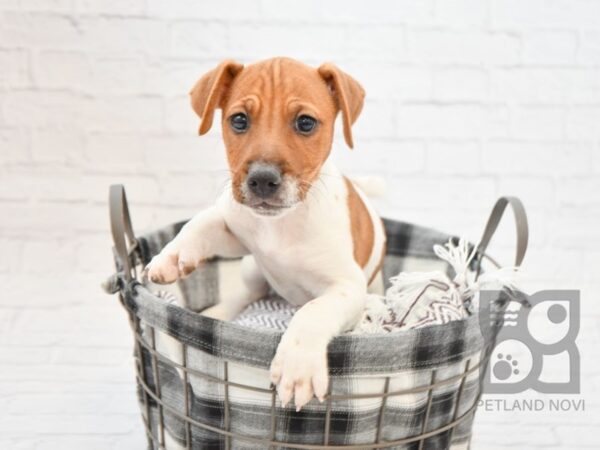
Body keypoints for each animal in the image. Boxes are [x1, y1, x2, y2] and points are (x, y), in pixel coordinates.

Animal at [148, 57, 386, 412]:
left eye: (305, 123)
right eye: (239, 120)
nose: (262, 180)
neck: (282, 223)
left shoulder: (347, 286)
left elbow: (312, 311)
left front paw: (297, 366)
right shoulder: (237, 232)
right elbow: (203, 221)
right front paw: (173, 254)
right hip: (251, 267)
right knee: (248, 293)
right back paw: (216, 314)